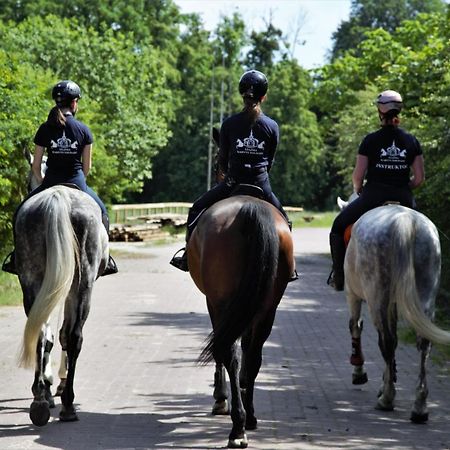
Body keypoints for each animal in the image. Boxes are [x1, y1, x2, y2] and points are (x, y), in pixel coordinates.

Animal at [187, 195, 296, 448]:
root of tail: (250, 208)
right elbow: (247, 348)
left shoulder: (213, 303)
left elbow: (221, 349)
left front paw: (220, 398)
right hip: (267, 306)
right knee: (254, 355)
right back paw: (250, 417)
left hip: (223, 301)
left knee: (230, 353)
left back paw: (237, 426)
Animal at [344, 204, 450, 422]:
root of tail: (405, 221)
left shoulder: (353, 294)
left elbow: (355, 325)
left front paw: (359, 372)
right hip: (425, 292)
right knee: (422, 344)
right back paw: (419, 407)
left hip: (377, 298)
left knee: (386, 341)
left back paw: (386, 398)